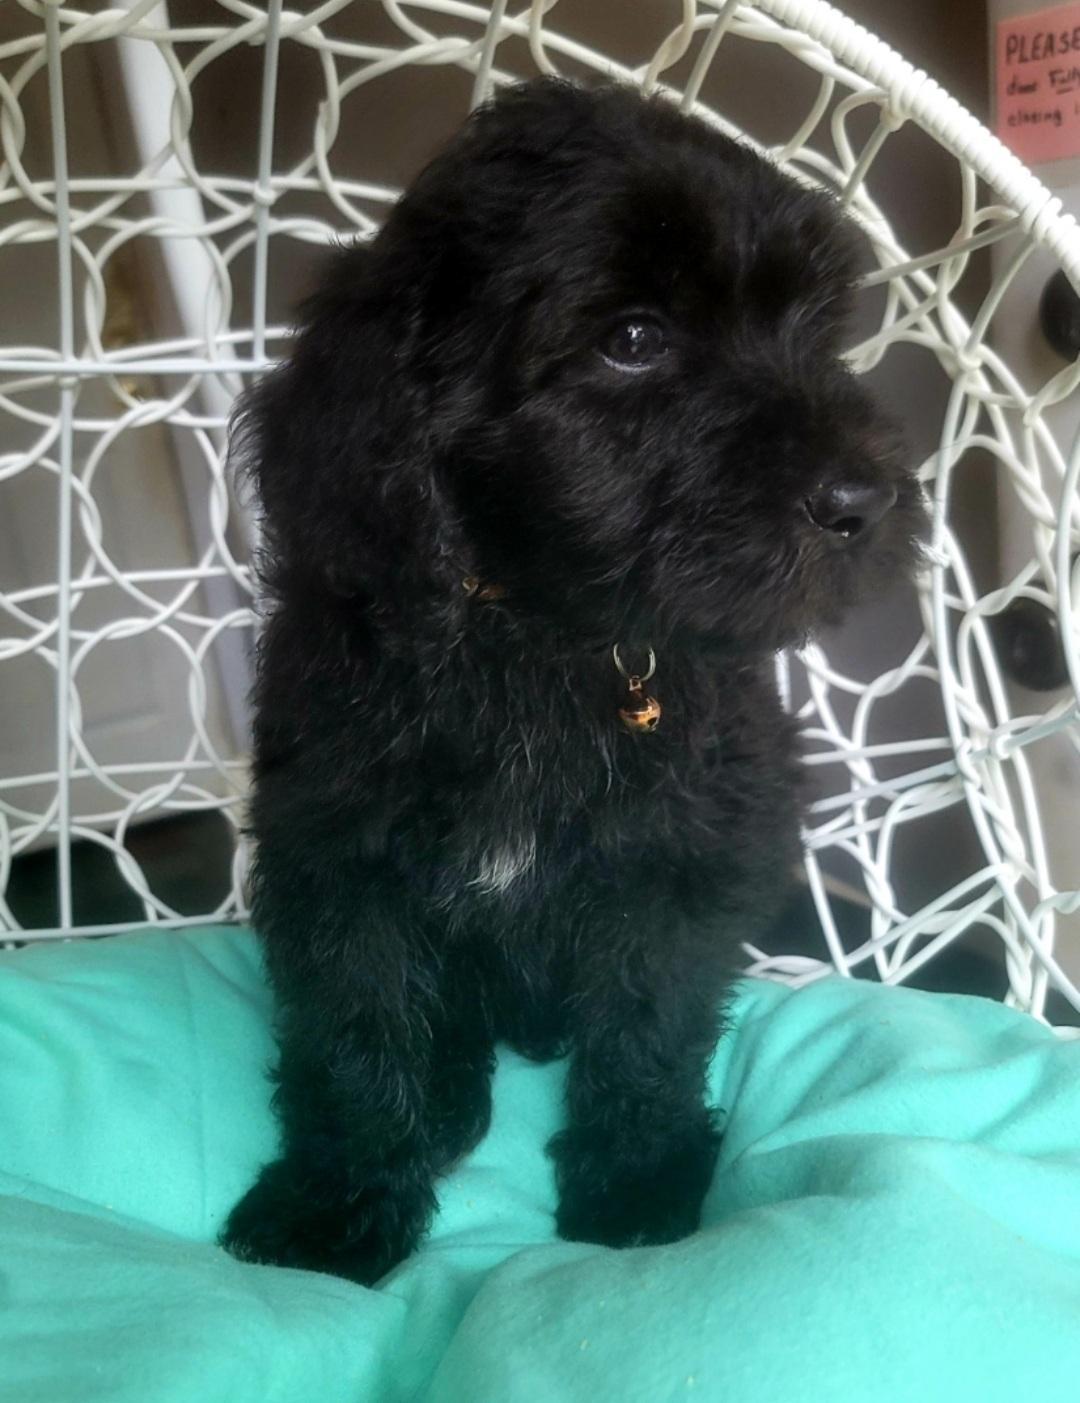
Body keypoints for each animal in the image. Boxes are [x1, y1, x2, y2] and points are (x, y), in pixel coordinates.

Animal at [220, 78, 925, 1284]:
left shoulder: (682, 860)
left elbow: (647, 1020)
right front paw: (340, 1200)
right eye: (634, 339)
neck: (542, 634)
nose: (864, 498)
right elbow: (360, 1026)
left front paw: (637, 1181)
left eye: (816, 330)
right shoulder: (339, 850)